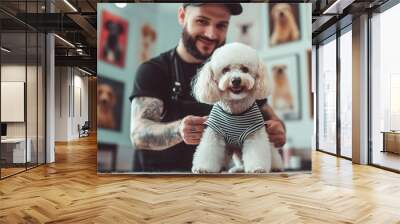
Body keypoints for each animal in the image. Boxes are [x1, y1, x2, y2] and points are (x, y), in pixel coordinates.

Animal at [191, 43, 282, 174]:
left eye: (245, 69)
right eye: (225, 70)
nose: (236, 80)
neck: (235, 111)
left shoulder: (254, 134)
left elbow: (256, 152)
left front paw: (257, 168)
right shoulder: (214, 132)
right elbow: (209, 150)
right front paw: (203, 168)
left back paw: (275, 167)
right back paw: (236, 169)